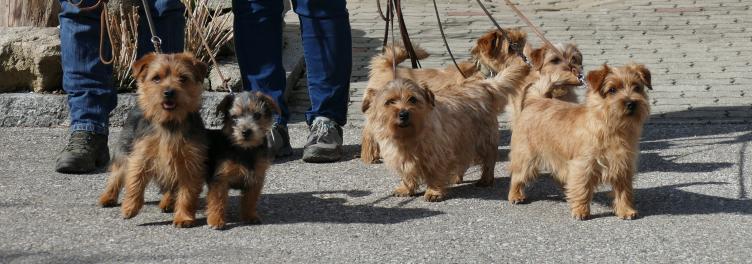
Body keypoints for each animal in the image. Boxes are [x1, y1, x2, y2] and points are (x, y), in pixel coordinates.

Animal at [98, 52, 209, 228]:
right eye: (156, 78)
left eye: (183, 78)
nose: (169, 92)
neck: (169, 122)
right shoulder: (140, 157)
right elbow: (135, 182)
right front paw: (130, 207)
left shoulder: (190, 162)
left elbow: (187, 193)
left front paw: (183, 217)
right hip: (125, 149)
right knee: (117, 174)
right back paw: (108, 197)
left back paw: (168, 202)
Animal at [203, 91, 280, 229]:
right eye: (234, 117)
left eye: (257, 115)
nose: (246, 131)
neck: (245, 150)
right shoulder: (220, 180)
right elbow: (218, 200)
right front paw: (216, 220)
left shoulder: (255, 180)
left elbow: (250, 200)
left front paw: (249, 216)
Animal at [360, 29, 528, 165]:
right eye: (511, 48)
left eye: (522, 44)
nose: (525, 59)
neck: (485, 73)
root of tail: (386, 66)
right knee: (369, 133)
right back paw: (370, 155)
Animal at [366, 58, 528, 201]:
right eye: (390, 101)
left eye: (412, 99)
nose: (403, 114)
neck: (408, 136)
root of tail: (481, 85)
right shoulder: (402, 157)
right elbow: (407, 173)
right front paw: (406, 188)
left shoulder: (437, 154)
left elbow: (435, 174)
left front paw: (434, 191)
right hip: (462, 141)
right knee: (462, 161)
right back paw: (456, 176)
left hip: (483, 140)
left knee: (488, 160)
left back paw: (485, 179)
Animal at [512, 64, 652, 221]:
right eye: (612, 90)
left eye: (637, 87)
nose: (631, 103)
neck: (612, 127)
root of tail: (537, 100)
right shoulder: (583, 165)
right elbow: (582, 188)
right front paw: (581, 211)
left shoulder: (623, 166)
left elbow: (624, 192)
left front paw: (626, 210)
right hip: (526, 157)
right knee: (517, 176)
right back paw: (515, 195)